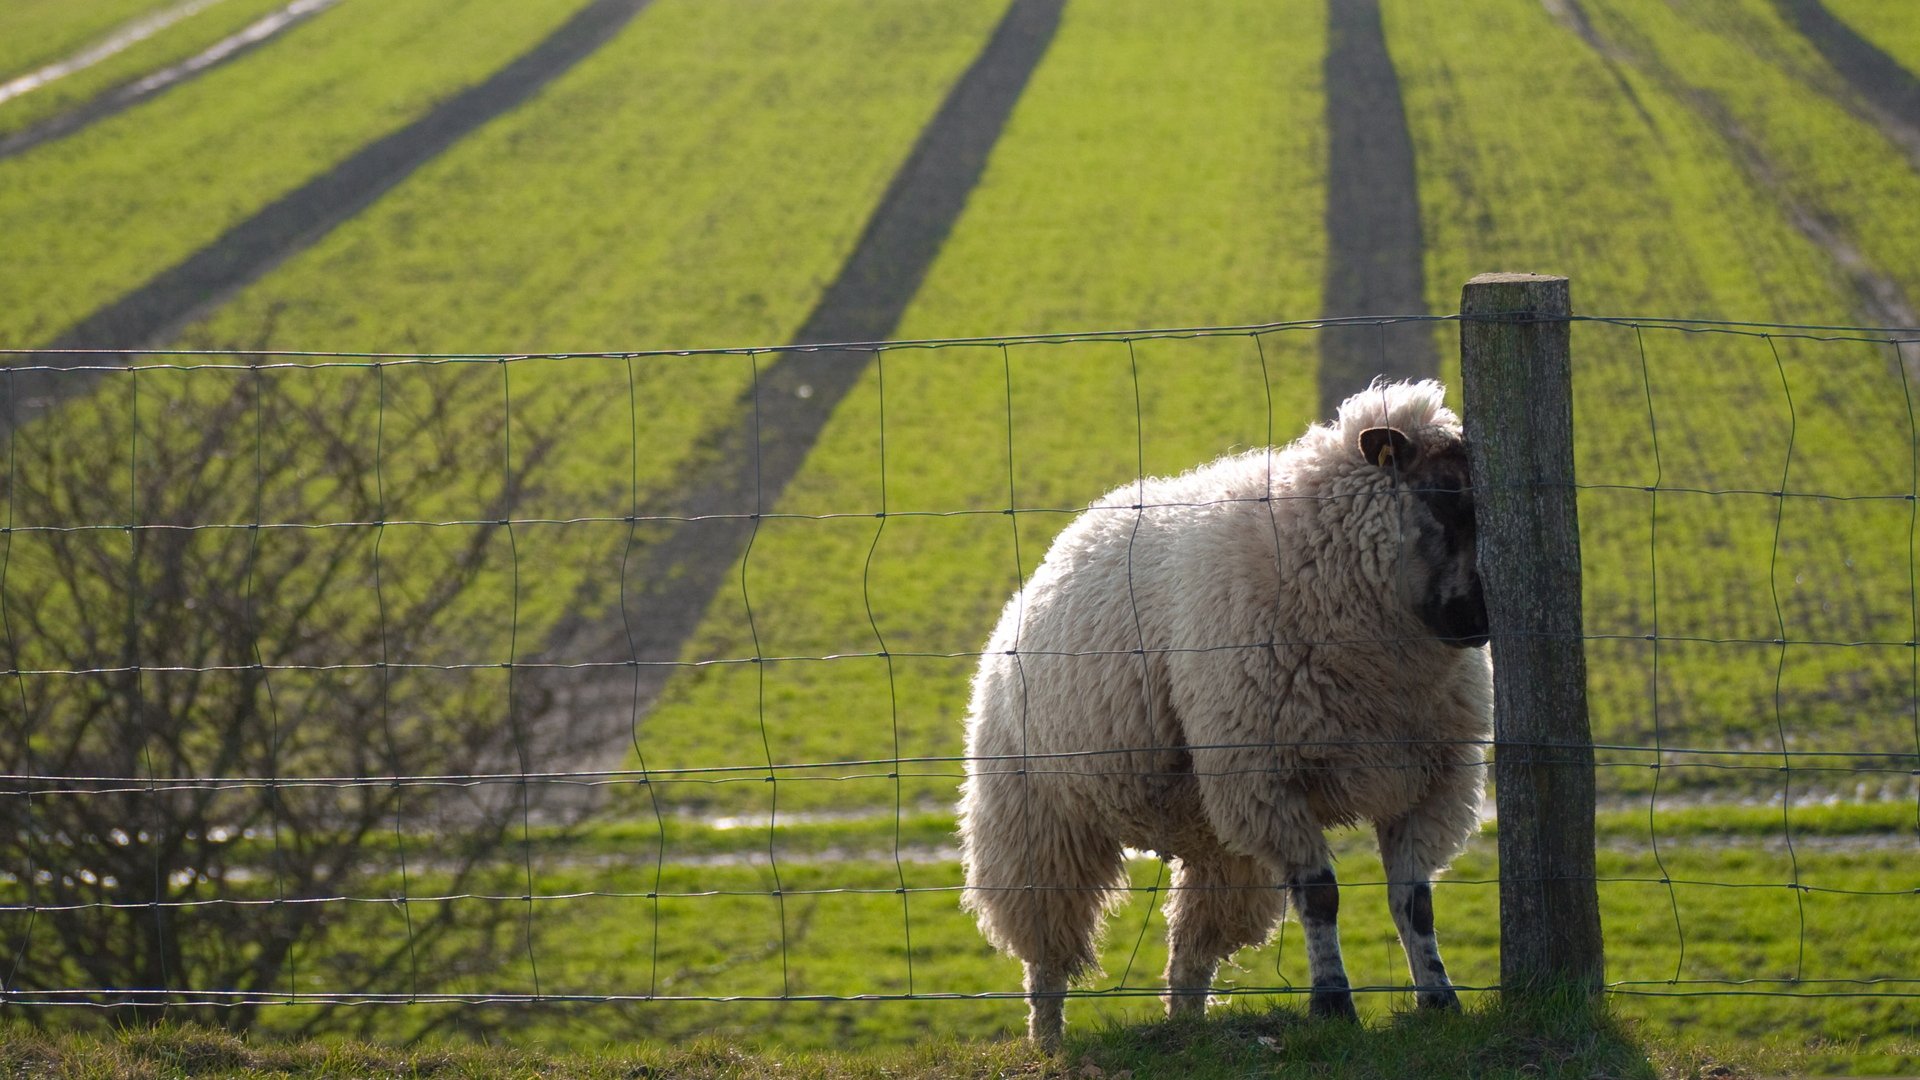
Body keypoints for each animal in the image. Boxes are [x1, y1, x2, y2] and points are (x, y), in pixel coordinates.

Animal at [956, 378, 1492, 1049]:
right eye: (1442, 496)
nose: (1481, 621)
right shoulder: (1269, 778)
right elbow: (1321, 897)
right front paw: (1333, 1006)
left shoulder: (1431, 780)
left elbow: (1413, 903)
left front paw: (1440, 999)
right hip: (1036, 823)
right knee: (1047, 951)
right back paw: (1049, 1041)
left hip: (1214, 837)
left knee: (1192, 949)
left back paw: (1186, 1024)